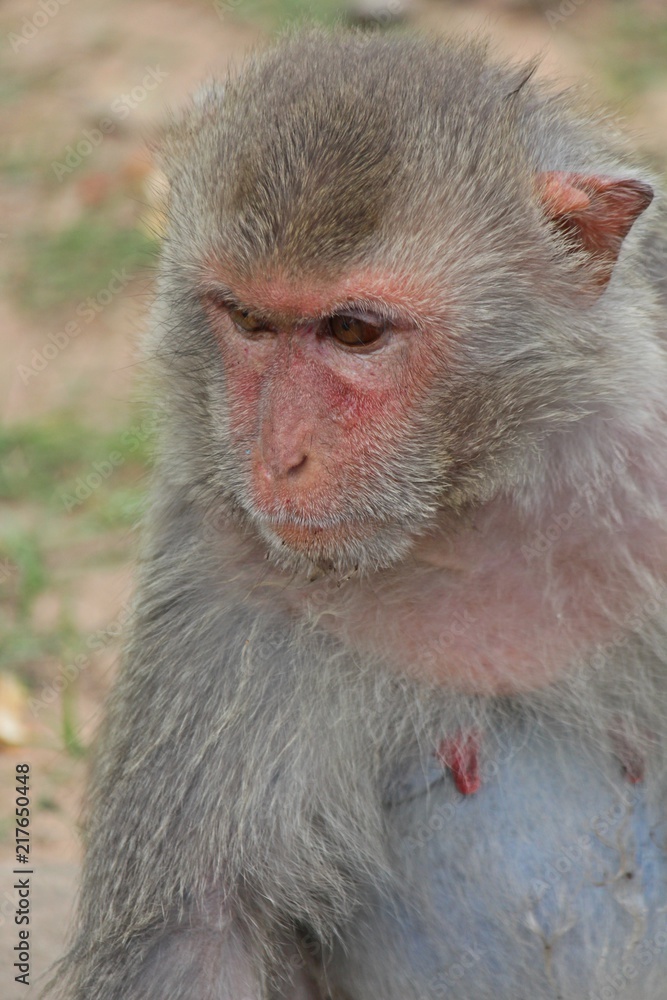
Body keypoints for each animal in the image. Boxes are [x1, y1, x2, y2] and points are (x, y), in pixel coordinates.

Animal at [48, 27, 667, 996]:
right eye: (247, 322)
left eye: (352, 333)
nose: (279, 457)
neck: (468, 510)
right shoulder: (218, 577)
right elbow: (196, 936)